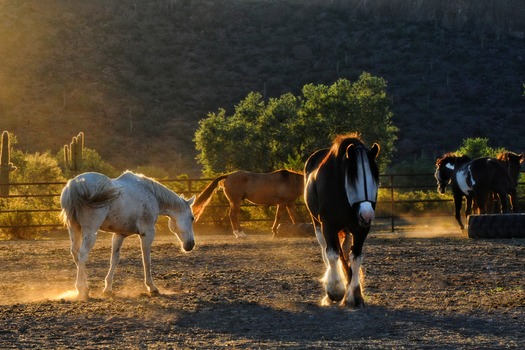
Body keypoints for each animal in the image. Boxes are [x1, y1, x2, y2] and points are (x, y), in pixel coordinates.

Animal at [59, 171, 194, 300]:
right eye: (192, 218)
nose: (191, 245)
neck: (151, 193)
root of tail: (73, 184)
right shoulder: (147, 233)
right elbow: (147, 260)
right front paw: (152, 287)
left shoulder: (119, 234)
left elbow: (114, 259)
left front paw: (108, 289)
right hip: (90, 231)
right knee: (82, 254)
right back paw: (82, 290)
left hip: (74, 228)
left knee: (75, 253)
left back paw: (84, 288)